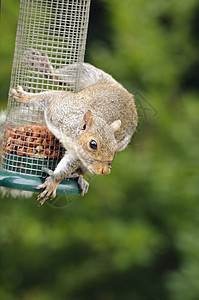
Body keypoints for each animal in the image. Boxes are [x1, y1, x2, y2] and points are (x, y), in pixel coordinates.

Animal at [10, 51, 138, 206]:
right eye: (93, 144)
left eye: (114, 149)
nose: (105, 171)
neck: (72, 136)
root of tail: (126, 95)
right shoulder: (58, 106)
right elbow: (47, 96)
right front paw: (24, 97)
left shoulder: (76, 155)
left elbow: (66, 167)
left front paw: (53, 182)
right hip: (87, 72)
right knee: (59, 78)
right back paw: (44, 66)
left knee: (81, 170)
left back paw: (80, 178)